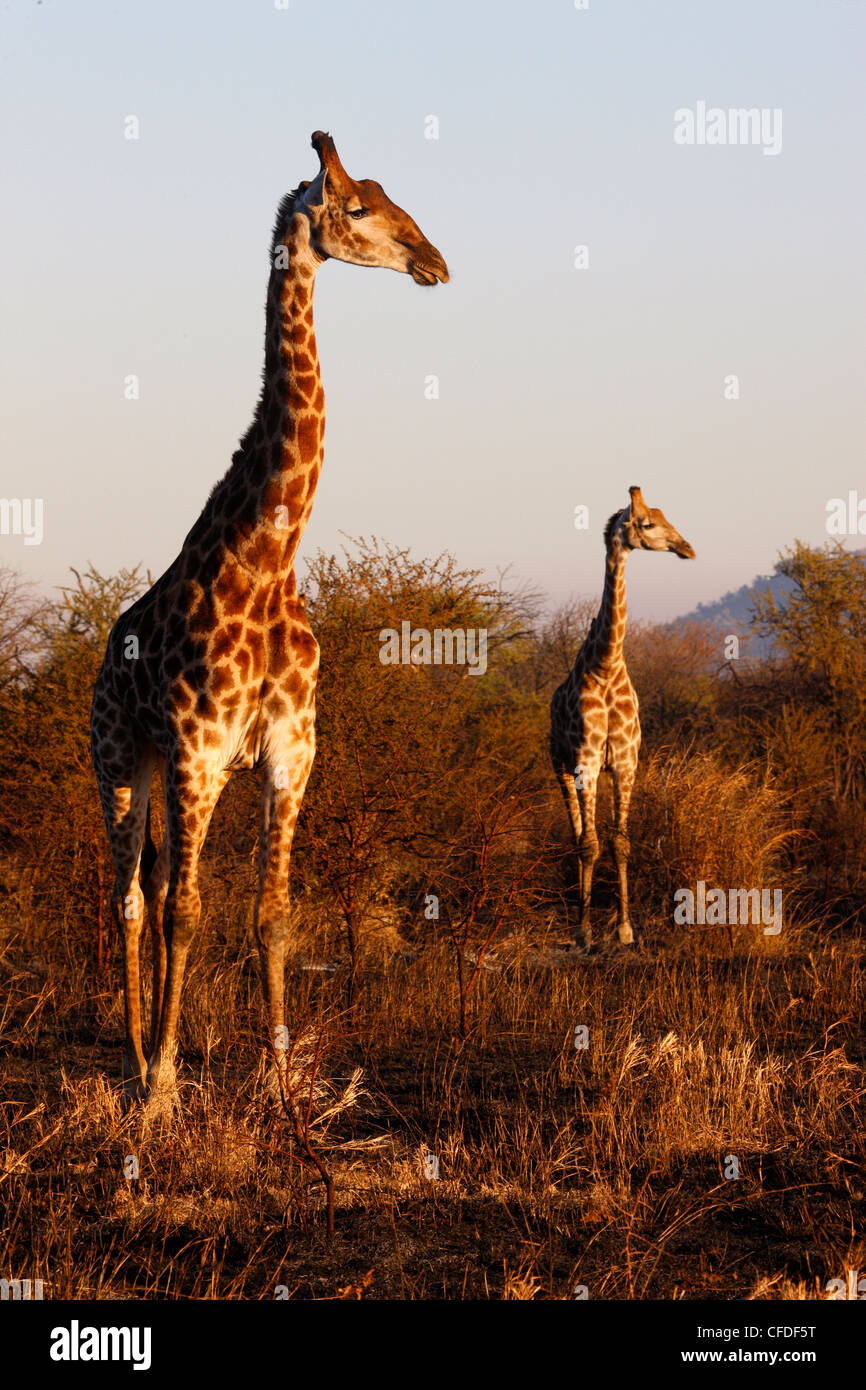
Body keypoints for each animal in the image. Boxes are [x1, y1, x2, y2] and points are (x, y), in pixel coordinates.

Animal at [91, 130, 450, 1106]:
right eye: (356, 207)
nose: (435, 262)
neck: (268, 559)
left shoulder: (291, 752)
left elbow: (274, 913)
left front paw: (283, 1076)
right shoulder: (199, 749)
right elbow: (188, 910)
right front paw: (164, 1088)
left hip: (161, 766)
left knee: (151, 889)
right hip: (119, 758)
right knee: (132, 896)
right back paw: (135, 1054)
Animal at [547, 483, 697, 950]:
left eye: (667, 517)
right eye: (646, 523)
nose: (687, 548)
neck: (607, 663)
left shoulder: (627, 762)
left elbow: (621, 844)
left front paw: (626, 929)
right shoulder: (585, 761)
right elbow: (590, 844)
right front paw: (584, 931)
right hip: (559, 766)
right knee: (578, 835)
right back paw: (578, 915)